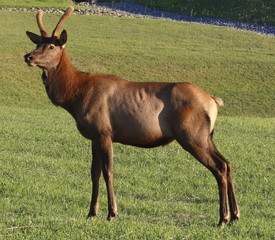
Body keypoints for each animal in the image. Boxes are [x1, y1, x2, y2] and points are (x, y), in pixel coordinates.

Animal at [23, 7, 240, 227]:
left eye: (51, 46)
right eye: (37, 43)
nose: (28, 56)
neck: (75, 96)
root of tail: (213, 101)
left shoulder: (104, 132)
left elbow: (108, 171)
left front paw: (112, 213)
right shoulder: (93, 136)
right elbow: (94, 172)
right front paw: (91, 213)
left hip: (192, 135)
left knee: (219, 167)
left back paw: (223, 218)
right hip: (206, 135)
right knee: (227, 163)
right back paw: (235, 216)